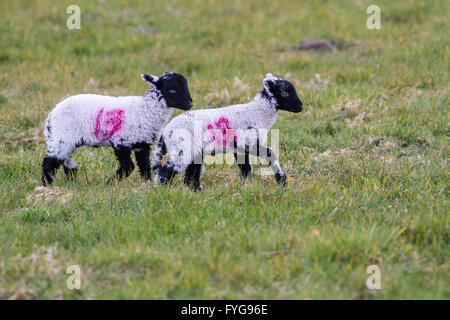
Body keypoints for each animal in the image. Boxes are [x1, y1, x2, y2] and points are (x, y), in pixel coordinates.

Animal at [42, 72, 195, 185]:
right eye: (172, 89)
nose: (190, 104)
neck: (145, 109)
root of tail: (51, 115)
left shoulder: (142, 144)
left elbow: (144, 166)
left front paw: (146, 185)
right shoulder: (121, 141)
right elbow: (128, 167)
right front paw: (109, 183)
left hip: (64, 140)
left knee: (64, 160)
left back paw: (70, 181)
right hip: (62, 137)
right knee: (49, 162)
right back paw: (47, 185)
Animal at [151, 73, 302, 190]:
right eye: (284, 93)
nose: (300, 106)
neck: (256, 113)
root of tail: (166, 131)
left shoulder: (239, 149)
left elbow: (246, 168)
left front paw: (244, 186)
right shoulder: (248, 143)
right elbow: (270, 154)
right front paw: (282, 181)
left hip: (194, 152)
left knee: (190, 176)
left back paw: (197, 191)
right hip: (182, 149)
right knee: (166, 171)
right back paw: (163, 190)